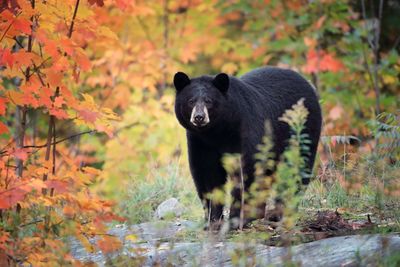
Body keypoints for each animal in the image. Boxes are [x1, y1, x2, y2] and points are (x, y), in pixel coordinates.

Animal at [172, 67, 322, 228]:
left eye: (209, 101)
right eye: (191, 101)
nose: (199, 117)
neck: (216, 132)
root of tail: (307, 83)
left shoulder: (244, 130)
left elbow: (246, 171)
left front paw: (237, 219)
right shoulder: (199, 143)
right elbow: (206, 174)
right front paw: (212, 220)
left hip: (302, 130)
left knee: (298, 167)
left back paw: (281, 212)